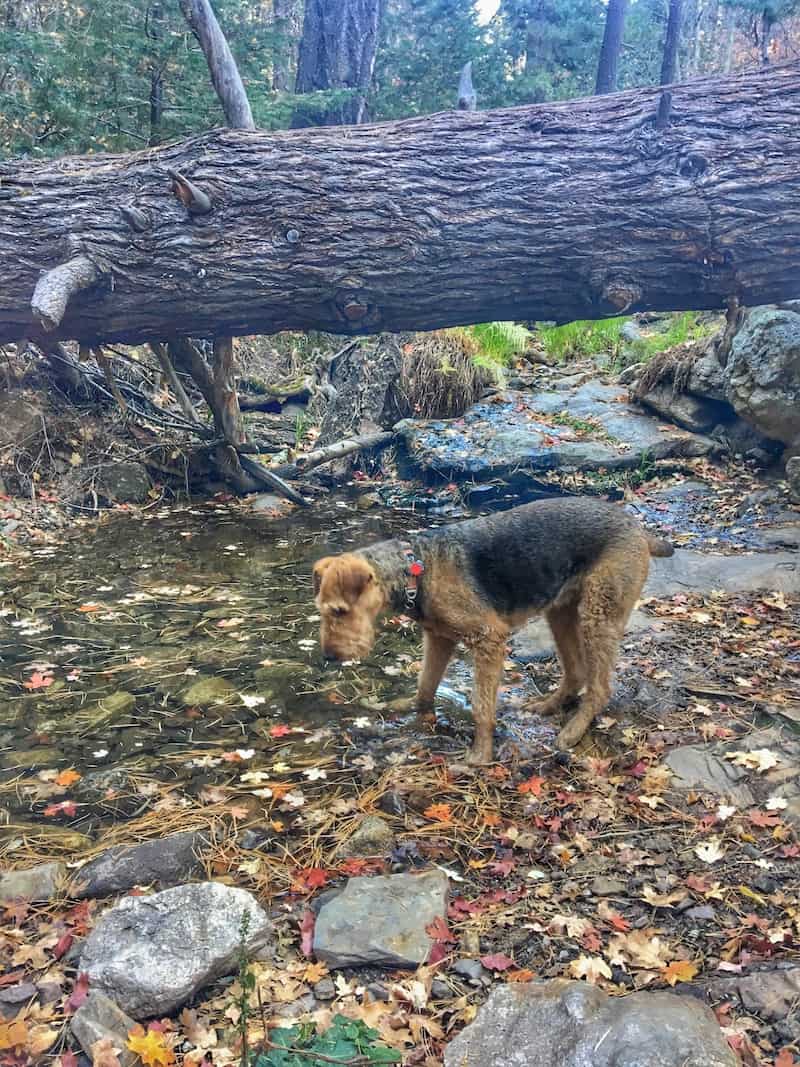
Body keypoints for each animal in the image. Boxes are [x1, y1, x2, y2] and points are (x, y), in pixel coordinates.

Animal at [309, 495, 674, 763]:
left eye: (340, 611)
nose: (329, 656)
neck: (417, 570)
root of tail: (637, 528)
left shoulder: (488, 639)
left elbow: (482, 707)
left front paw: (480, 755)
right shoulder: (439, 638)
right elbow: (425, 686)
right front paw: (412, 711)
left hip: (598, 615)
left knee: (599, 687)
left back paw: (573, 730)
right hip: (561, 613)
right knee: (576, 673)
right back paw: (547, 706)